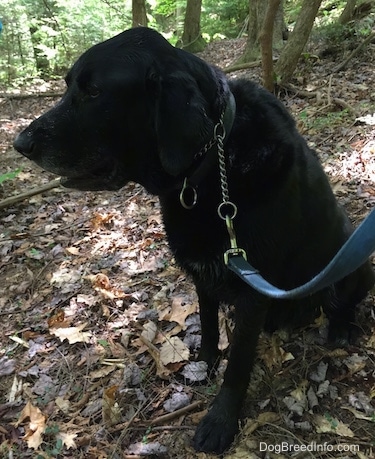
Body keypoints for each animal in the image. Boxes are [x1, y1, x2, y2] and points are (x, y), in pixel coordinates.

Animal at [13, 27, 374, 454]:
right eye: (69, 85)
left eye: (94, 91)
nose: (20, 143)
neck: (210, 165)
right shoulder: (205, 275)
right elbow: (208, 325)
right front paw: (204, 364)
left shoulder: (251, 291)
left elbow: (238, 366)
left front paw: (220, 421)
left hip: (353, 264)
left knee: (342, 304)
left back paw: (340, 329)